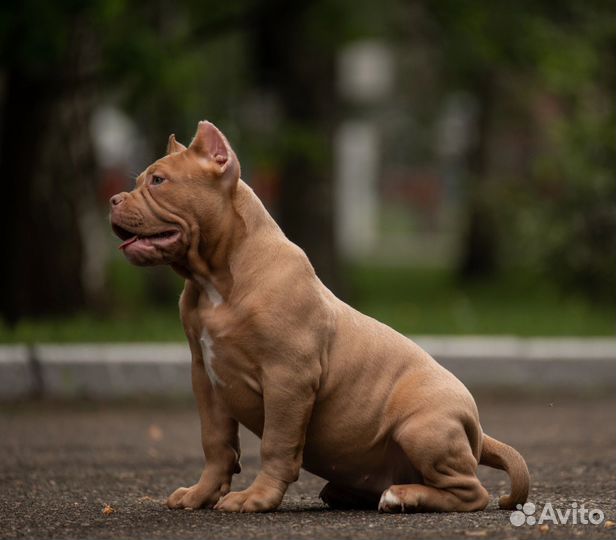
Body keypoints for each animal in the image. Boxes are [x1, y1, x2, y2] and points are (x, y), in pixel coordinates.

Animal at [108, 121, 528, 516]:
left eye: (159, 181)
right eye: (140, 181)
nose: (112, 199)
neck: (215, 278)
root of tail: (479, 431)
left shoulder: (288, 378)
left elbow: (276, 445)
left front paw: (257, 498)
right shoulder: (206, 378)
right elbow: (216, 444)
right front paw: (201, 494)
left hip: (422, 428)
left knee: (471, 491)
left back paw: (403, 496)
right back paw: (352, 492)